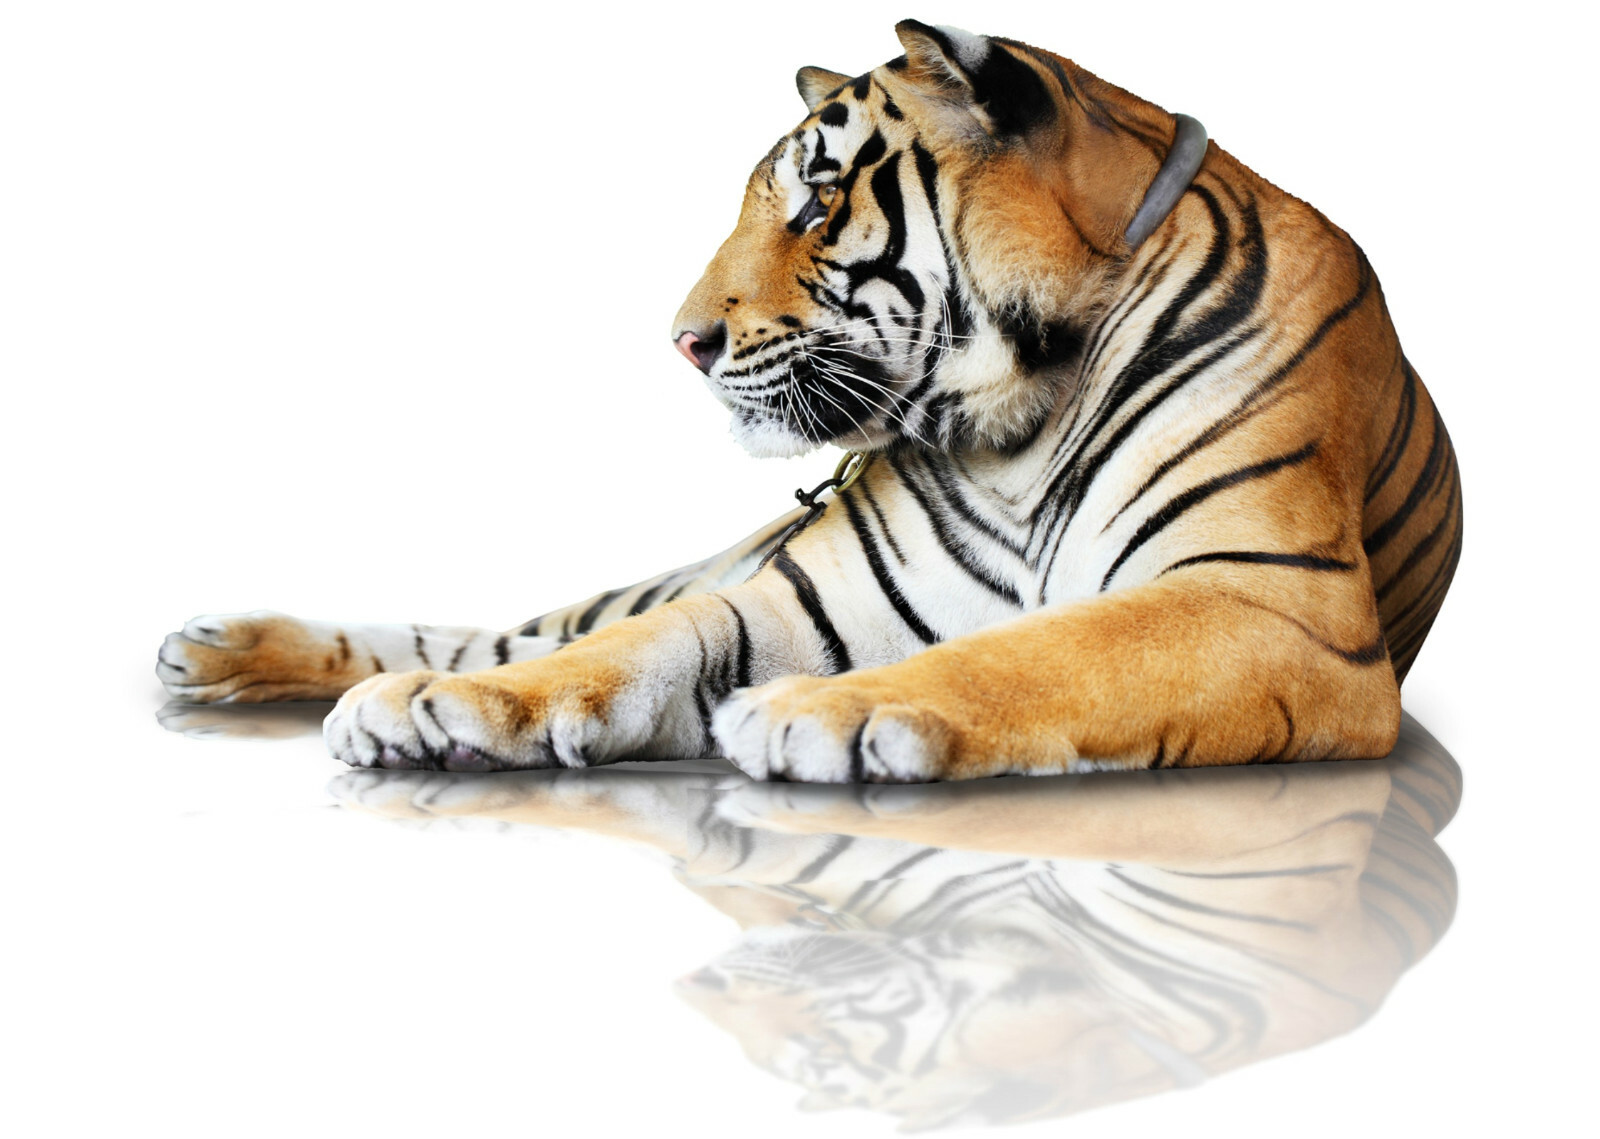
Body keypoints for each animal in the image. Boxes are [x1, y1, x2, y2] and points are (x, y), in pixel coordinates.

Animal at [157, 20, 1462, 781]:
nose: (681, 342)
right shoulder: (795, 590)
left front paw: (819, 713)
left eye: (820, 203)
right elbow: (628, 645)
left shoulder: (1267, 602)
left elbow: (1044, 652)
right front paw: (443, 707)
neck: (1016, 425)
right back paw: (225, 650)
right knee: (515, 625)